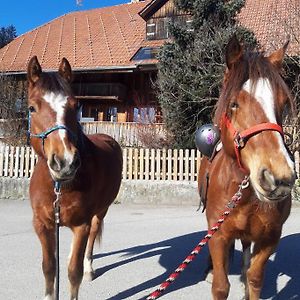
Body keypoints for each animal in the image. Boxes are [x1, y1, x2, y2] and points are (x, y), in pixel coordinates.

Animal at [26, 56, 122, 300]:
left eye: (74, 106)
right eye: (31, 108)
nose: (65, 161)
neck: (59, 186)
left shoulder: (81, 224)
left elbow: (73, 273)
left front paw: (81, 271)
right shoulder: (42, 225)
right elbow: (49, 268)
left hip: (100, 211)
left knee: (92, 236)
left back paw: (89, 268)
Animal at [198, 36, 296, 298]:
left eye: (283, 104)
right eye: (233, 104)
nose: (278, 178)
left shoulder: (270, 238)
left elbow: (255, 277)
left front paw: (247, 282)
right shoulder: (218, 235)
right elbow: (220, 286)